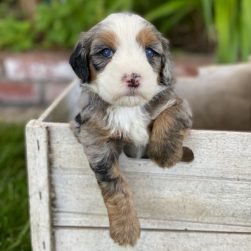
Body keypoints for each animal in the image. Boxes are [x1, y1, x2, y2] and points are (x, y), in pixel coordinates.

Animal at [68, 12, 192, 246]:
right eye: (106, 52)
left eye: (150, 52)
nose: (133, 76)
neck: (128, 108)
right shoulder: (94, 139)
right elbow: (115, 186)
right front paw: (125, 230)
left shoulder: (178, 103)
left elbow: (170, 116)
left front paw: (165, 155)